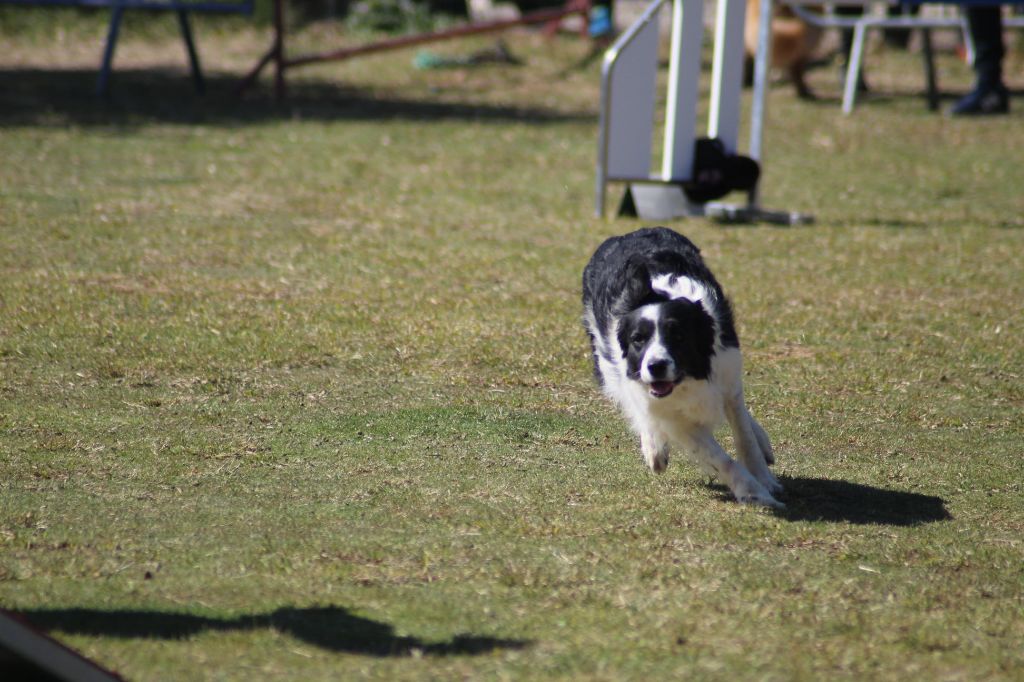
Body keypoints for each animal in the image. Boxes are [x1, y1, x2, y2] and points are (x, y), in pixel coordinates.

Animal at [585, 227, 782, 503]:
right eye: (638, 339)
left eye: (678, 336)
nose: (656, 366)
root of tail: (628, 233)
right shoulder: (672, 415)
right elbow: (719, 457)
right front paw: (752, 491)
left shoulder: (728, 374)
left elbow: (745, 436)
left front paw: (765, 480)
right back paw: (654, 448)